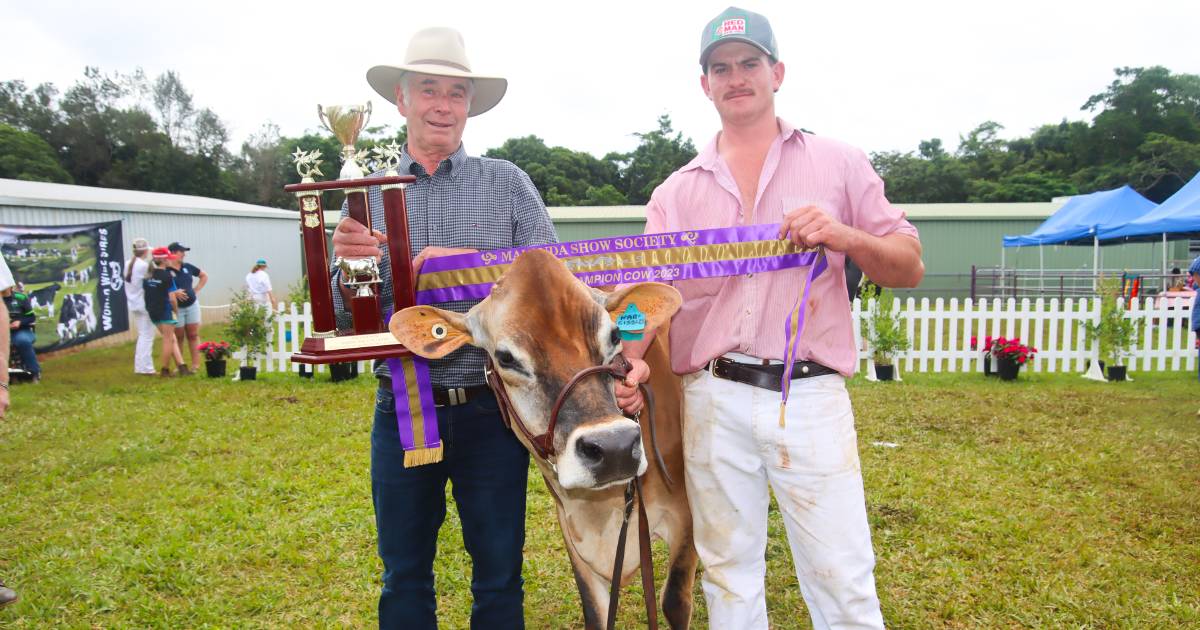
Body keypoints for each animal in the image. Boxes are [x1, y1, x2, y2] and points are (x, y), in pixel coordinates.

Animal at [388, 248, 700, 624]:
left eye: (615, 337)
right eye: (506, 358)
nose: (615, 448)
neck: (602, 511)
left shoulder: (687, 516)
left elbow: (673, 600)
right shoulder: (572, 533)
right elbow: (595, 612)